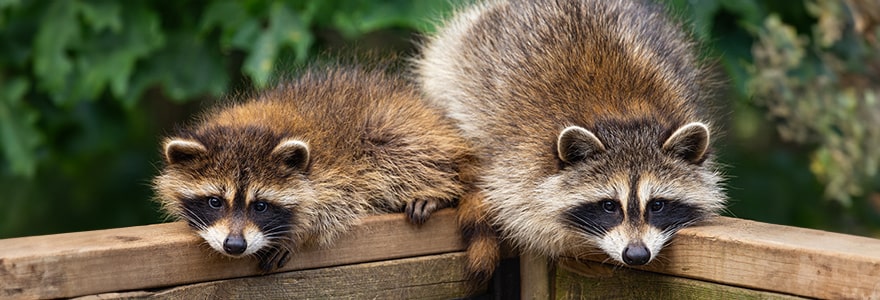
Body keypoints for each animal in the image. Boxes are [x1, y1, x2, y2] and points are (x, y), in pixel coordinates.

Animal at [156, 66, 474, 272]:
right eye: (215, 202)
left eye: (260, 206)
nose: (234, 245)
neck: (252, 127)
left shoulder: (338, 171)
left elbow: (337, 208)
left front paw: (297, 234)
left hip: (395, 129)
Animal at [416, 0, 724, 282]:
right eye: (609, 205)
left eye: (657, 205)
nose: (636, 255)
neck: (625, 117)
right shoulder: (516, 161)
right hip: (453, 62)